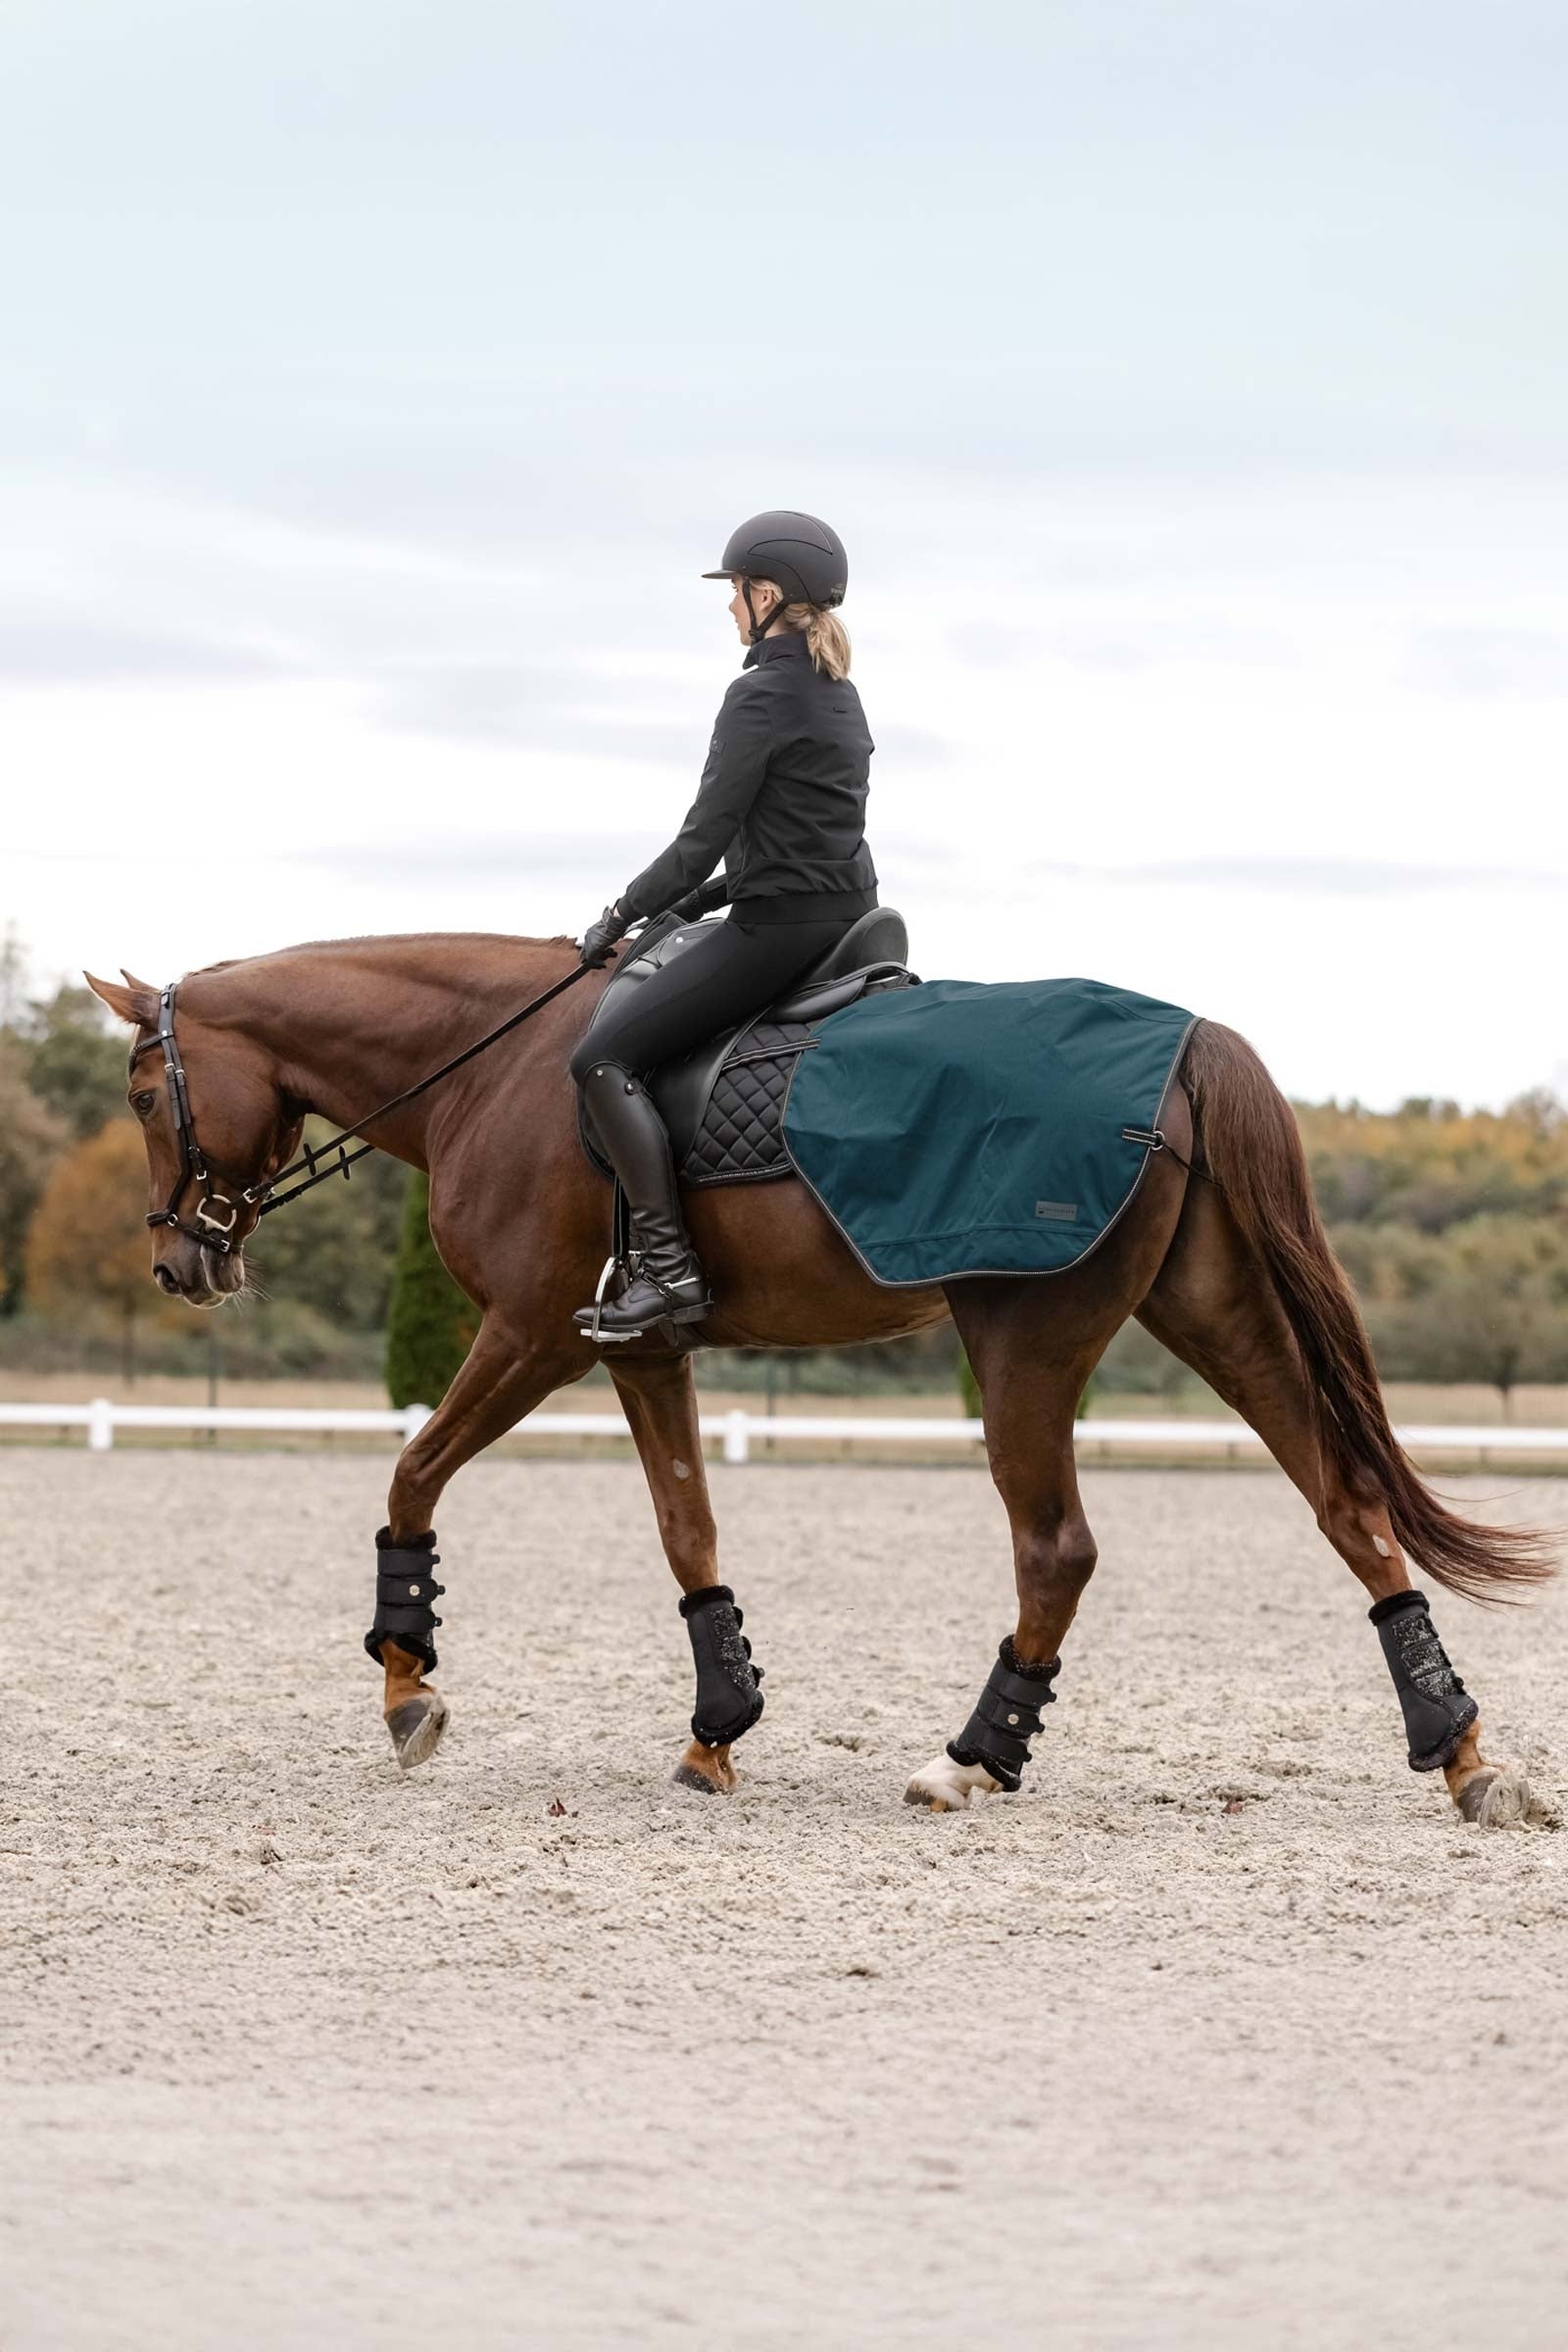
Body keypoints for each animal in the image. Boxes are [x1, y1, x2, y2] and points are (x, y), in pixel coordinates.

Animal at [86, 933, 1553, 1826]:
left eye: (145, 1097)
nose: (178, 1262)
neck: (490, 1066)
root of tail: (1184, 1043)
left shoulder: (534, 1334)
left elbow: (412, 1470)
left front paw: (408, 1688)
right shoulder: (642, 1347)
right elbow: (687, 1529)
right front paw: (717, 1726)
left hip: (1026, 1342)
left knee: (1058, 1549)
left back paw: (971, 1763)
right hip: (1217, 1315)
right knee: (1342, 1504)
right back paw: (1462, 1755)